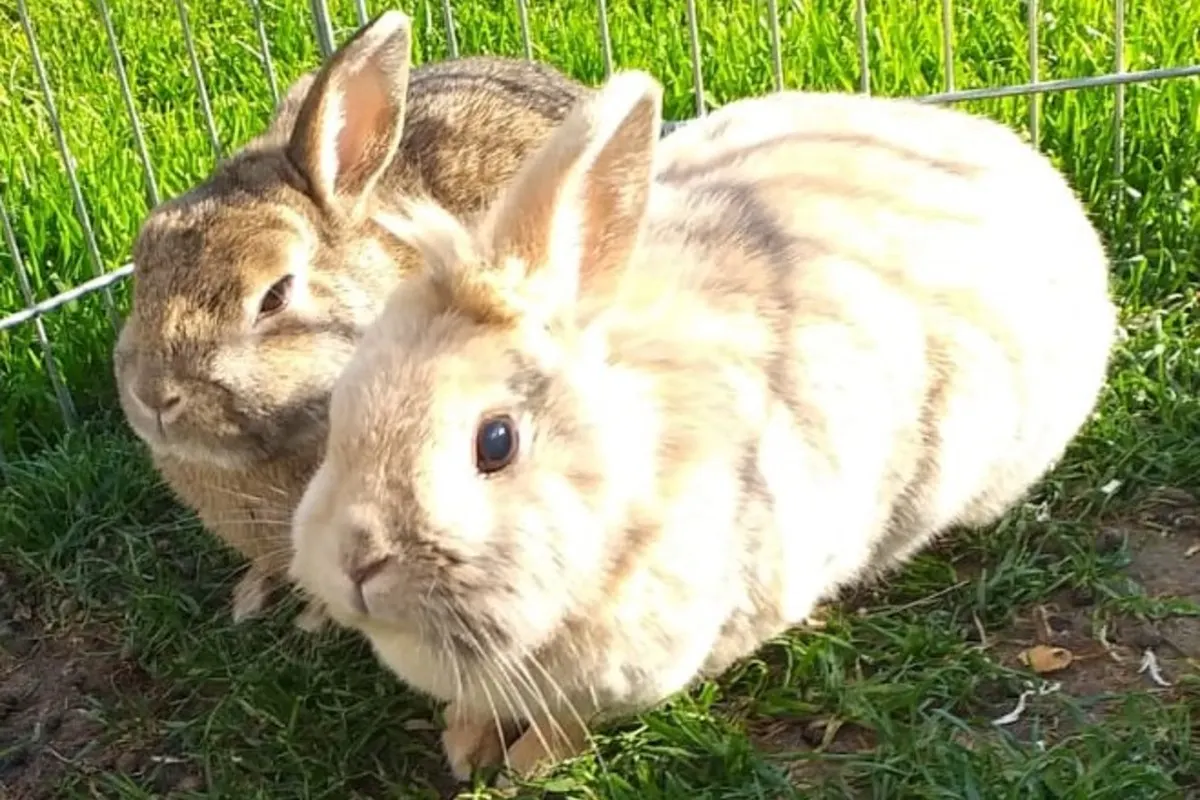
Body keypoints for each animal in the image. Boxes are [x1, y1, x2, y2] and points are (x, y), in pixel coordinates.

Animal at [287, 69, 1116, 782]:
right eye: (340, 412)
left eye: (496, 442)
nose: (357, 561)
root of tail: (1019, 157)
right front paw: (465, 745)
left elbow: (572, 722)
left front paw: (526, 764)